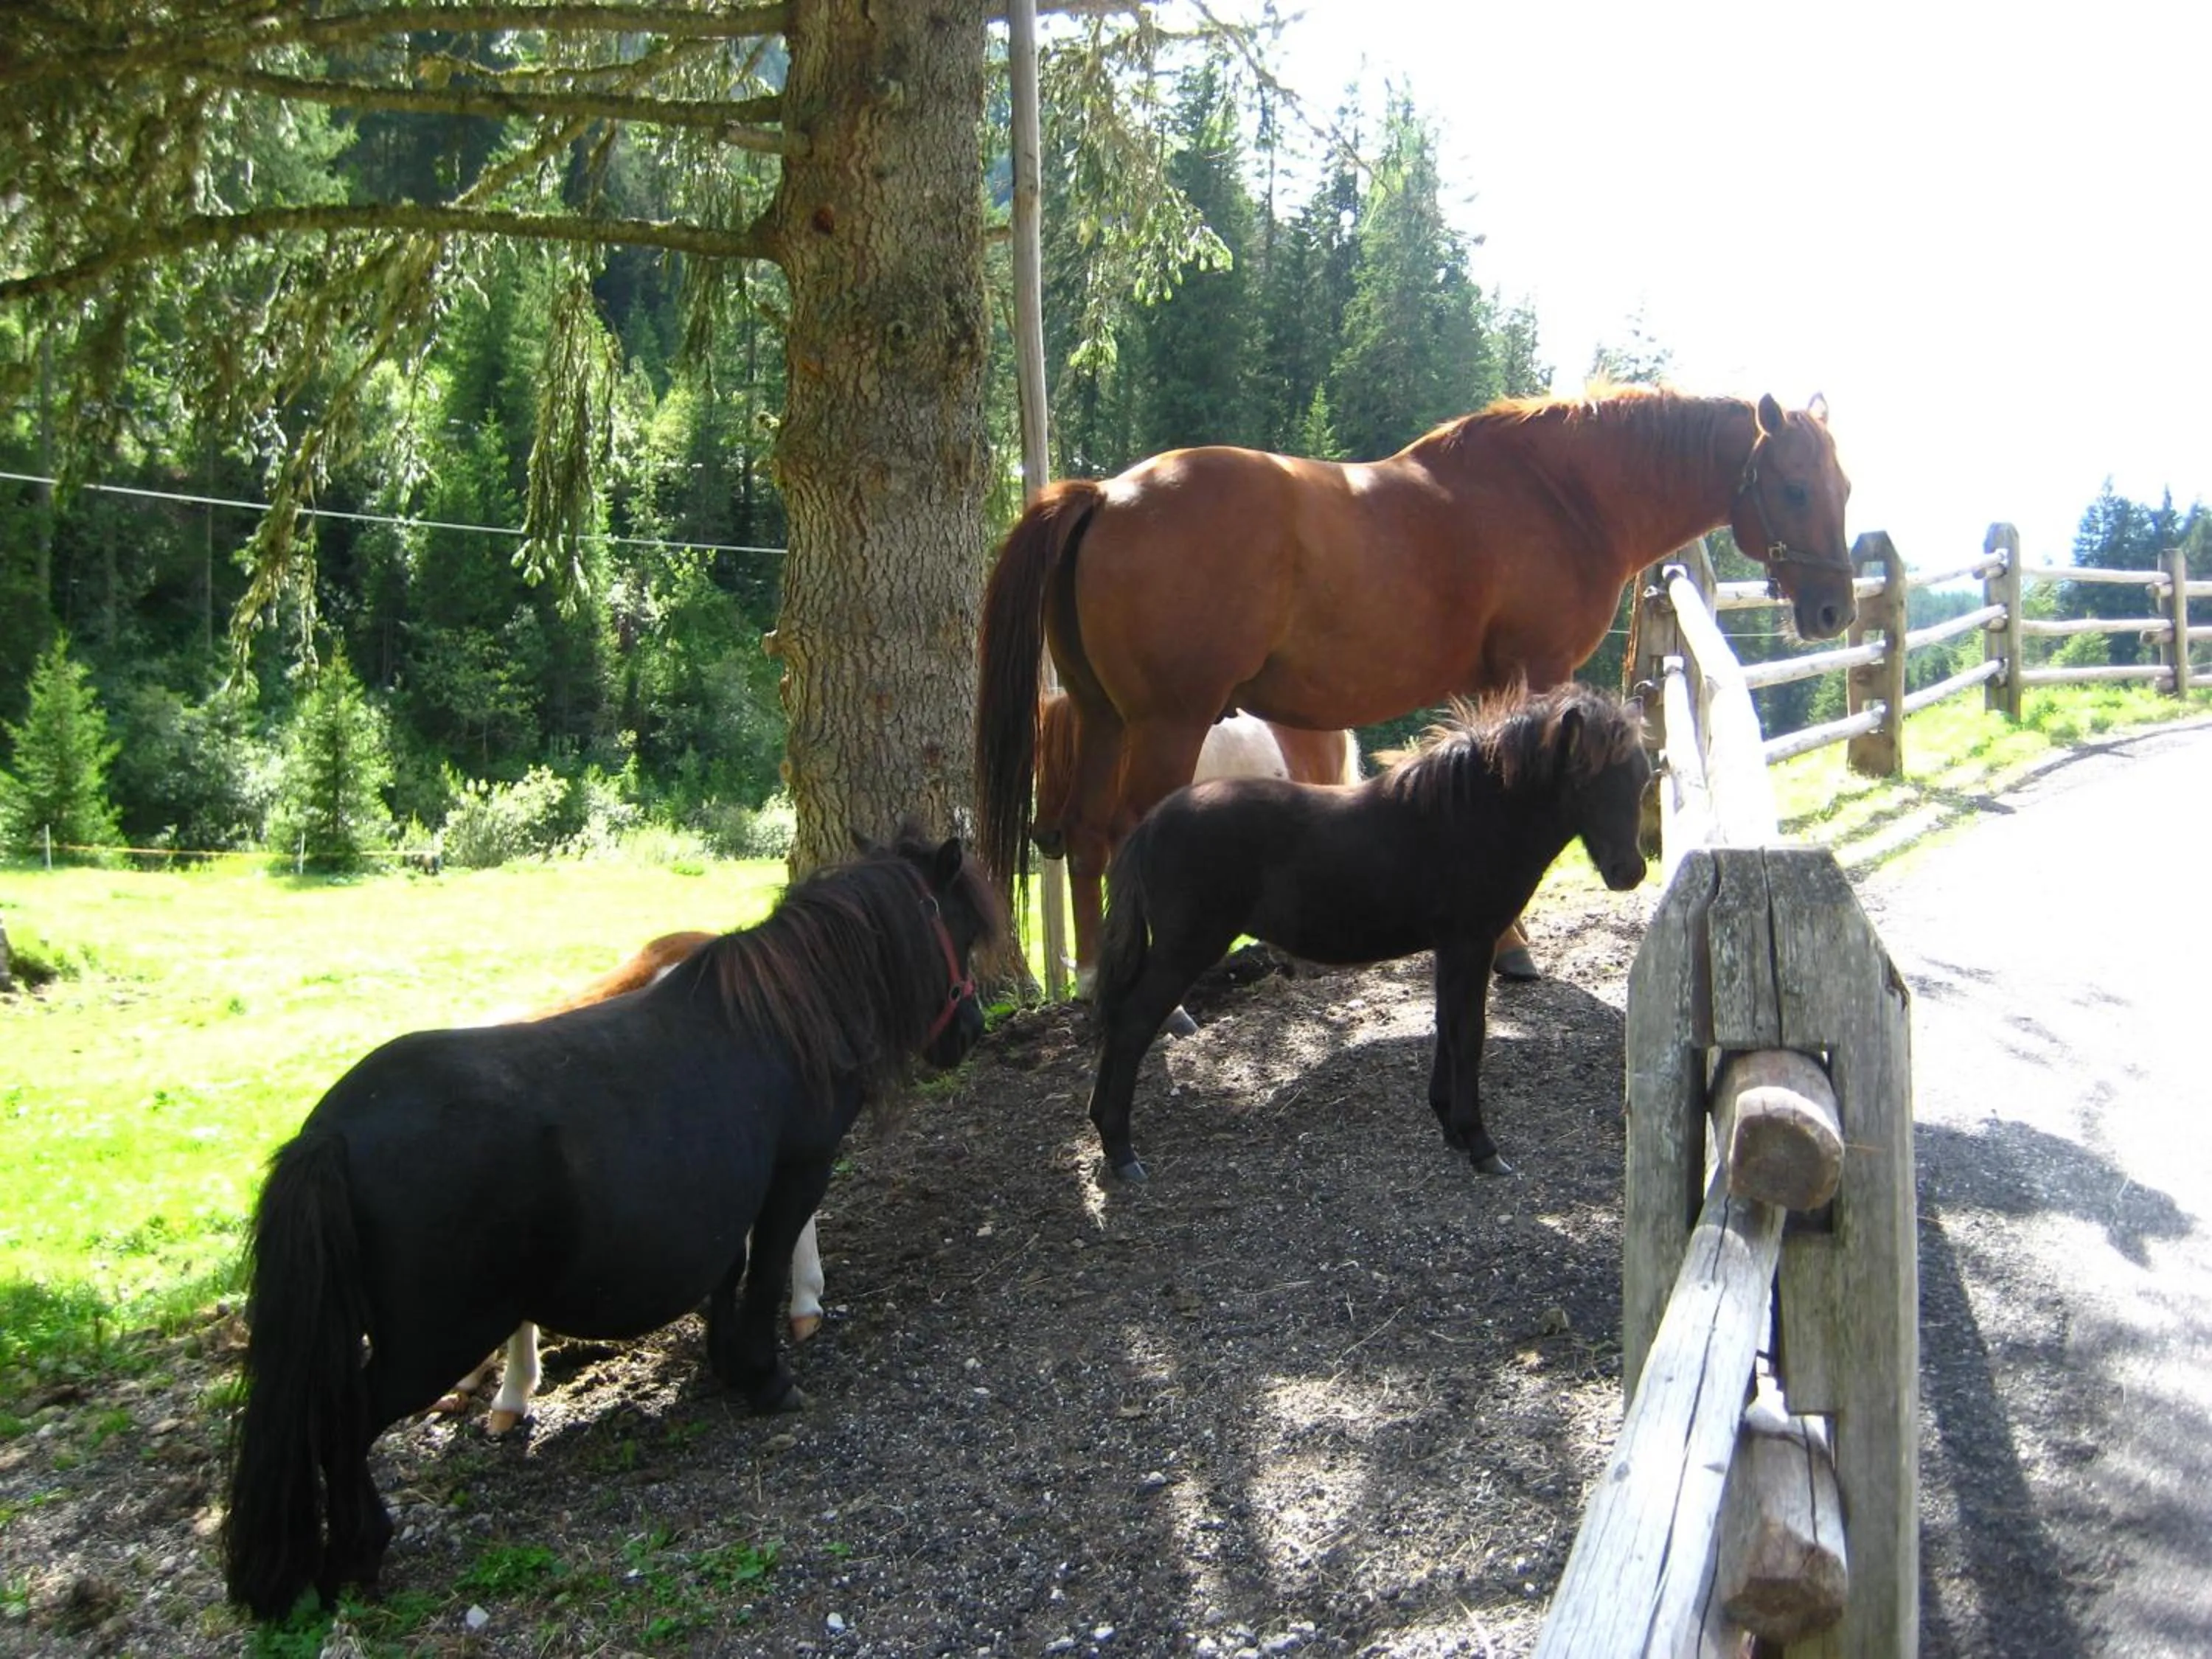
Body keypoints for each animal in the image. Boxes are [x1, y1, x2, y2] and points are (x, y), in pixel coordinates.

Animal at [1084, 683, 1651, 1184]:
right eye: (1584, 780)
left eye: (1643, 778)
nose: (1629, 872)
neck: (1467, 818)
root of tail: (1153, 823)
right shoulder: (1471, 943)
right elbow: (1469, 1035)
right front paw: (1481, 1145)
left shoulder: (1451, 949)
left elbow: (1447, 1028)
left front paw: (1450, 1128)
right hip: (1186, 950)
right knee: (1133, 1024)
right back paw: (1121, 1151)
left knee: (1120, 1020)